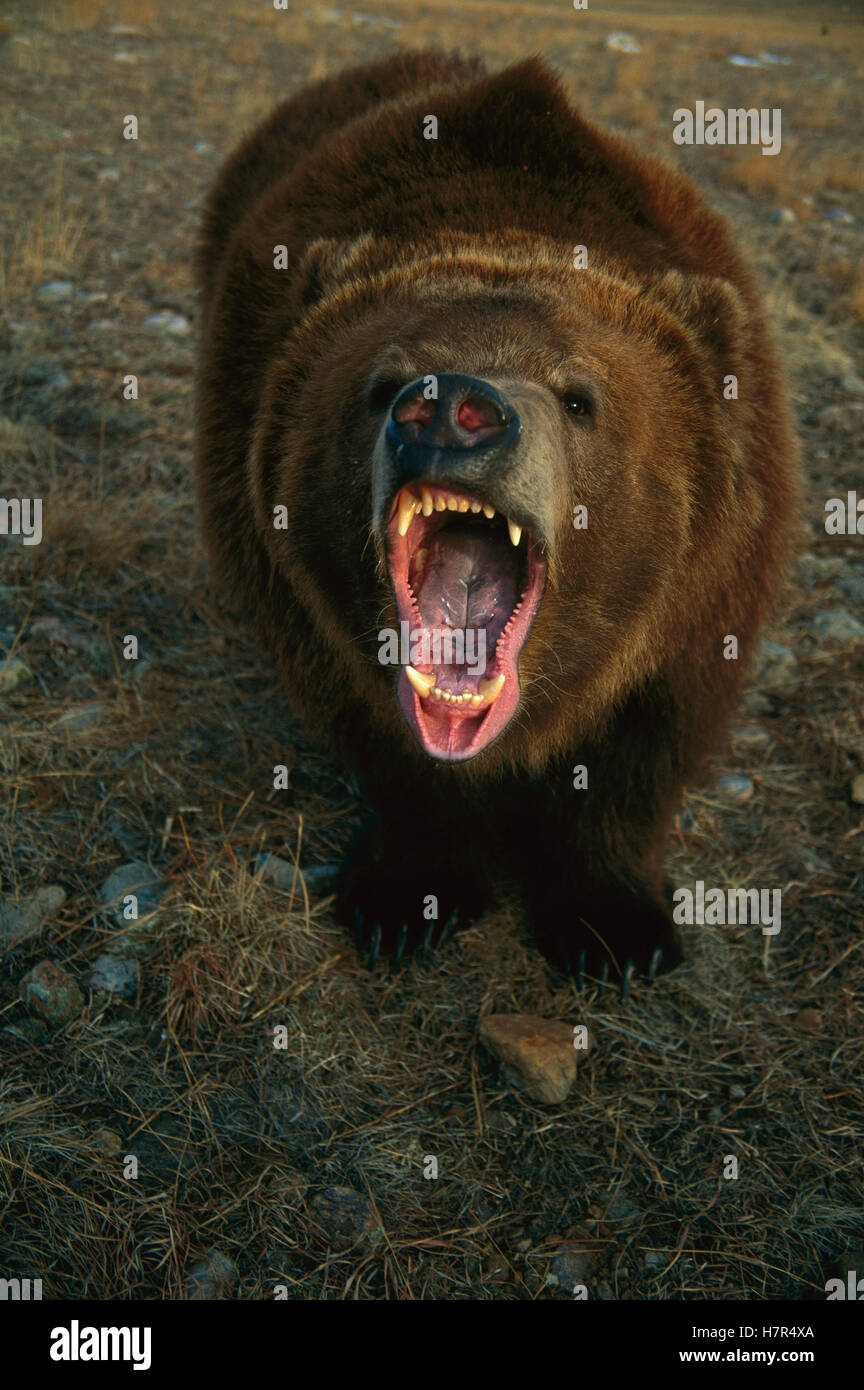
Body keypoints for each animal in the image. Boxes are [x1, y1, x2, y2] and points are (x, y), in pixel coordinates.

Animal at [194, 52, 799, 988]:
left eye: (580, 395)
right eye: (381, 381)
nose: (449, 411)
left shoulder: (703, 595)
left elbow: (644, 752)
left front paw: (614, 928)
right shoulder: (298, 600)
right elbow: (385, 746)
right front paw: (406, 899)